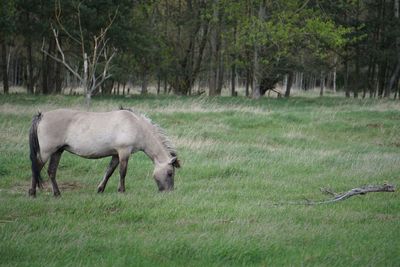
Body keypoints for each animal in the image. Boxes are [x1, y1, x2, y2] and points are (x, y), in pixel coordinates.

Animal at [26, 108, 180, 198]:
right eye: (170, 173)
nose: (169, 192)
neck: (136, 126)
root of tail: (42, 116)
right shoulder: (124, 152)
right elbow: (122, 172)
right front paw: (122, 191)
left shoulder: (116, 154)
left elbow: (109, 171)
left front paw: (100, 189)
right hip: (46, 152)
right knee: (36, 168)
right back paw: (32, 193)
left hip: (58, 151)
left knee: (51, 171)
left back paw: (57, 194)